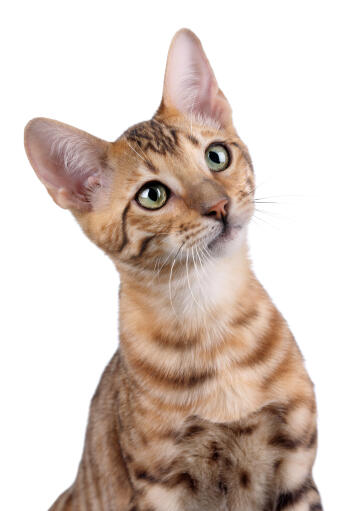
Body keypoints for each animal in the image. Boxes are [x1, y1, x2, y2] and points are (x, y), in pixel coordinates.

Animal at [24, 27, 322, 511]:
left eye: (217, 156)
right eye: (153, 195)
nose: (219, 205)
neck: (210, 315)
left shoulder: (297, 468)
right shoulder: (159, 485)